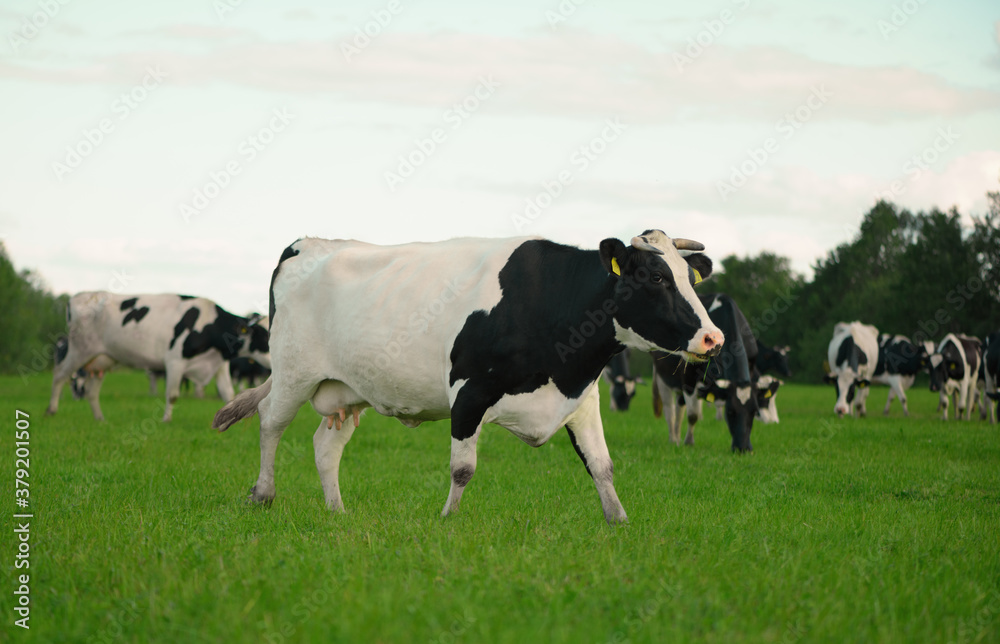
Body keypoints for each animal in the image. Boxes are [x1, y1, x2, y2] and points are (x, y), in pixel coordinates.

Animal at [47, 292, 270, 422]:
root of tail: (79, 297)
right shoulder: (174, 362)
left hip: (101, 359)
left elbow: (228, 393)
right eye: (266, 336)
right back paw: (51, 410)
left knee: (92, 391)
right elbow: (172, 395)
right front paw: (166, 420)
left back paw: (100, 418)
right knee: (59, 376)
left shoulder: (220, 365)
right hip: (79, 350)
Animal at [213, 230, 728, 524]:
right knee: (270, 423)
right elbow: (463, 468)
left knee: (326, 444)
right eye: (656, 278)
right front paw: (448, 519)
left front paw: (618, 519)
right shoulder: (468, 390)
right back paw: (263, 494)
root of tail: (307, 243)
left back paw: (337, 511)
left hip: (349, 390)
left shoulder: (580, 397)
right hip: (293, 371)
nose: (712, 337)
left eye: (690, 278)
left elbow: (602, 465)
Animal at [648, 294, 756, 452]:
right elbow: (693, 415)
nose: (743, 448)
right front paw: (689, 442)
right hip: (664, 378)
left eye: (754, 412)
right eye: (730, 412)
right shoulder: (689, 378)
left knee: (679, 408)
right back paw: (673, 439)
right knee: (670, 411)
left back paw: (677, 438)